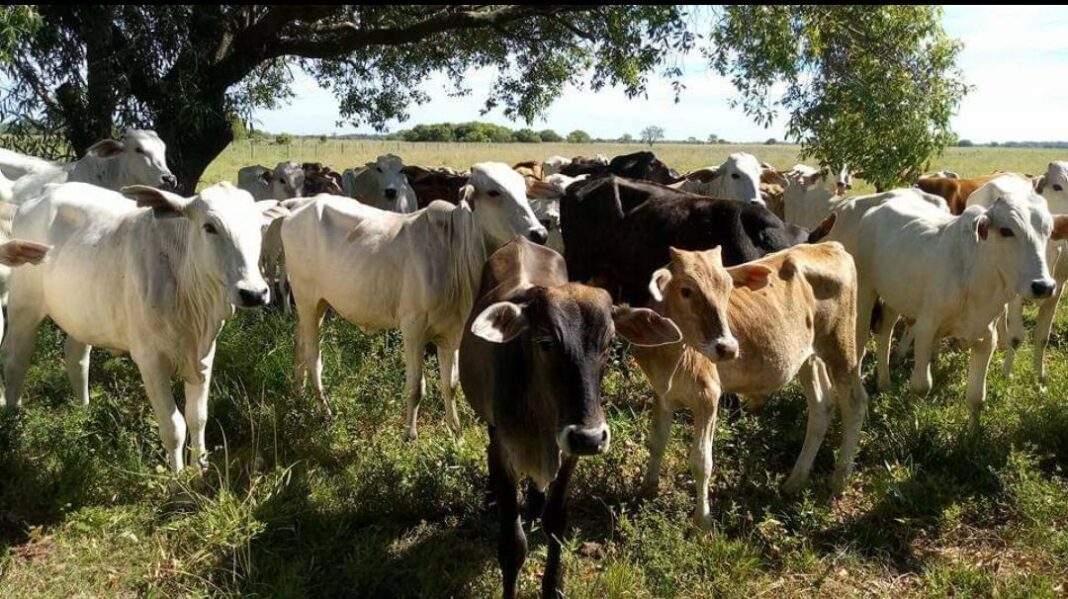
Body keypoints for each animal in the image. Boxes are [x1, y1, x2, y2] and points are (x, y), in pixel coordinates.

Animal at [2, 179, 286, 469]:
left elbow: (198, 417)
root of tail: (35, 199)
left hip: (82, 314)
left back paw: (84, 414)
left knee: (76, 358)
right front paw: (178, 478)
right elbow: (174, 427)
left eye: (259, 227)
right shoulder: (151, 360)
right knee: (15, 360)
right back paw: (14, 424)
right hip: (24, 304)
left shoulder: (205, 355)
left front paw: (199, 469)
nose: (254, 293)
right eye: (210, 227)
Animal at [279, 161, 546, 437]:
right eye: (494, 192)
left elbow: (450, 384)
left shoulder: (452, 333)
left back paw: (298, 395)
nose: (539, 233)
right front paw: (410, 435)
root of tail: (300, 205)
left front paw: (456, 432)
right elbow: (416, 387)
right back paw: (325, 411)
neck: (455, 250)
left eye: (523, 190)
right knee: (313, 356)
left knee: (299, 341)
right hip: (307, 298)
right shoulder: (413, 328)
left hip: (316, 304)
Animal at [461, 235, 679, 593]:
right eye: (546, 341)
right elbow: (512, 545)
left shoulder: (569, 454)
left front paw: (553, 585)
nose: (589, 437)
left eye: (609, 343)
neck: (539, 416)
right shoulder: (505, 454)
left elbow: (556, 522)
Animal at [632, 243, 867, 527]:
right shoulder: (661, 393)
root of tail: (829, 245)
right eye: (686, 290)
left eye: (728, 288)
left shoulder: (708, 396)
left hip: (842, 347)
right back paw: (794, 481)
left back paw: (838, 480)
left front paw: (703, 520)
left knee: (854, 402)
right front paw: (647, 490)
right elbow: (656, 441)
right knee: (822, 406)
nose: (727, 347)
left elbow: (701, 461)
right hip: (808, 357)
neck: (671, 357)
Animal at [824, 186, 1068, 424]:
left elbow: (977, 397)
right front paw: (914, 424)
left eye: (1048, 232)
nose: (1043, 286)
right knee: (859, 345)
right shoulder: (926, 328)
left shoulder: (986, 337)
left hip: (894, 296)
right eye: (1006, 230)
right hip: (865, 293)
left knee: (885, 332)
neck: (975, 273)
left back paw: (884, 383)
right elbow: (921, 386)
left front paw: (972, 433)